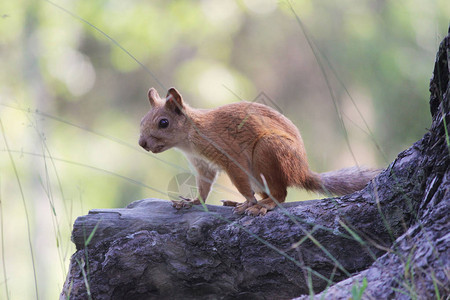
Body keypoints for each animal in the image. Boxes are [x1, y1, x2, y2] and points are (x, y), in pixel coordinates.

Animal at [137, 86, 380, 216]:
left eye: (164, 123)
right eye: (142, 120)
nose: (141, 143)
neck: (190, 139)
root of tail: (301, 171)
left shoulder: (230, 156)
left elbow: (240, 184)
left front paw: (248, 202)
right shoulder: (203, 165)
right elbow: (204, 188)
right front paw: (193, 202)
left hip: (268, 152)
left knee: (280, 195)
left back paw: (261, 205)